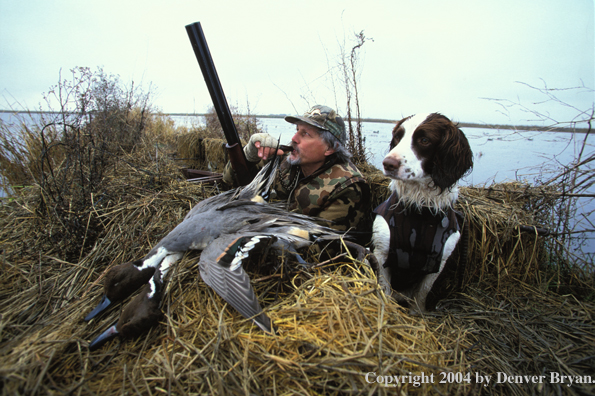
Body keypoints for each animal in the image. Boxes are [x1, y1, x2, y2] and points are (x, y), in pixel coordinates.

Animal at [372, 112, 474, 312]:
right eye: (398, 137)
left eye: (425, 140)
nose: (388, 164)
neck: (420, 210)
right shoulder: (381, 254)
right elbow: (384, 290)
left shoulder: (438, 263)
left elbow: (422, 293)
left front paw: (417, 313)